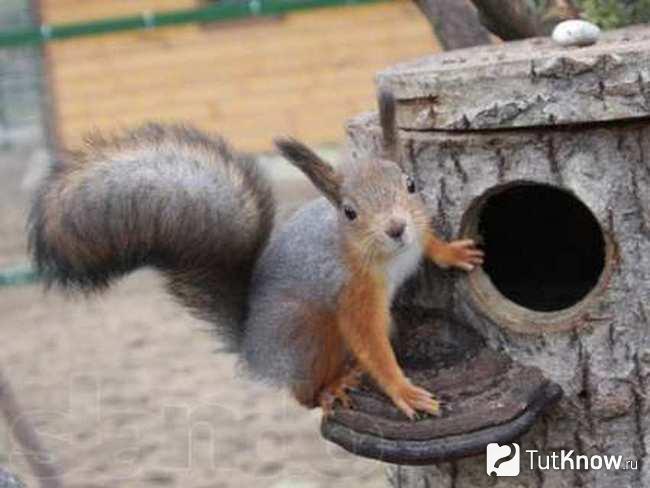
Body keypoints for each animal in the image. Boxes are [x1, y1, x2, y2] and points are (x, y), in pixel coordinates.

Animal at [29, 90, 483, 419]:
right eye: (349, 212)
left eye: (410, 185)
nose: (396, 227)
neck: (387, 255)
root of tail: (252, 347)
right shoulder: (352, 292)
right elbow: (372, 344)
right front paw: (403, 391)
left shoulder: (417, 227)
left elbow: (429, 239)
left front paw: (453, 253)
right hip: (308, 332)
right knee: (303, 395)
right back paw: (331, 387)